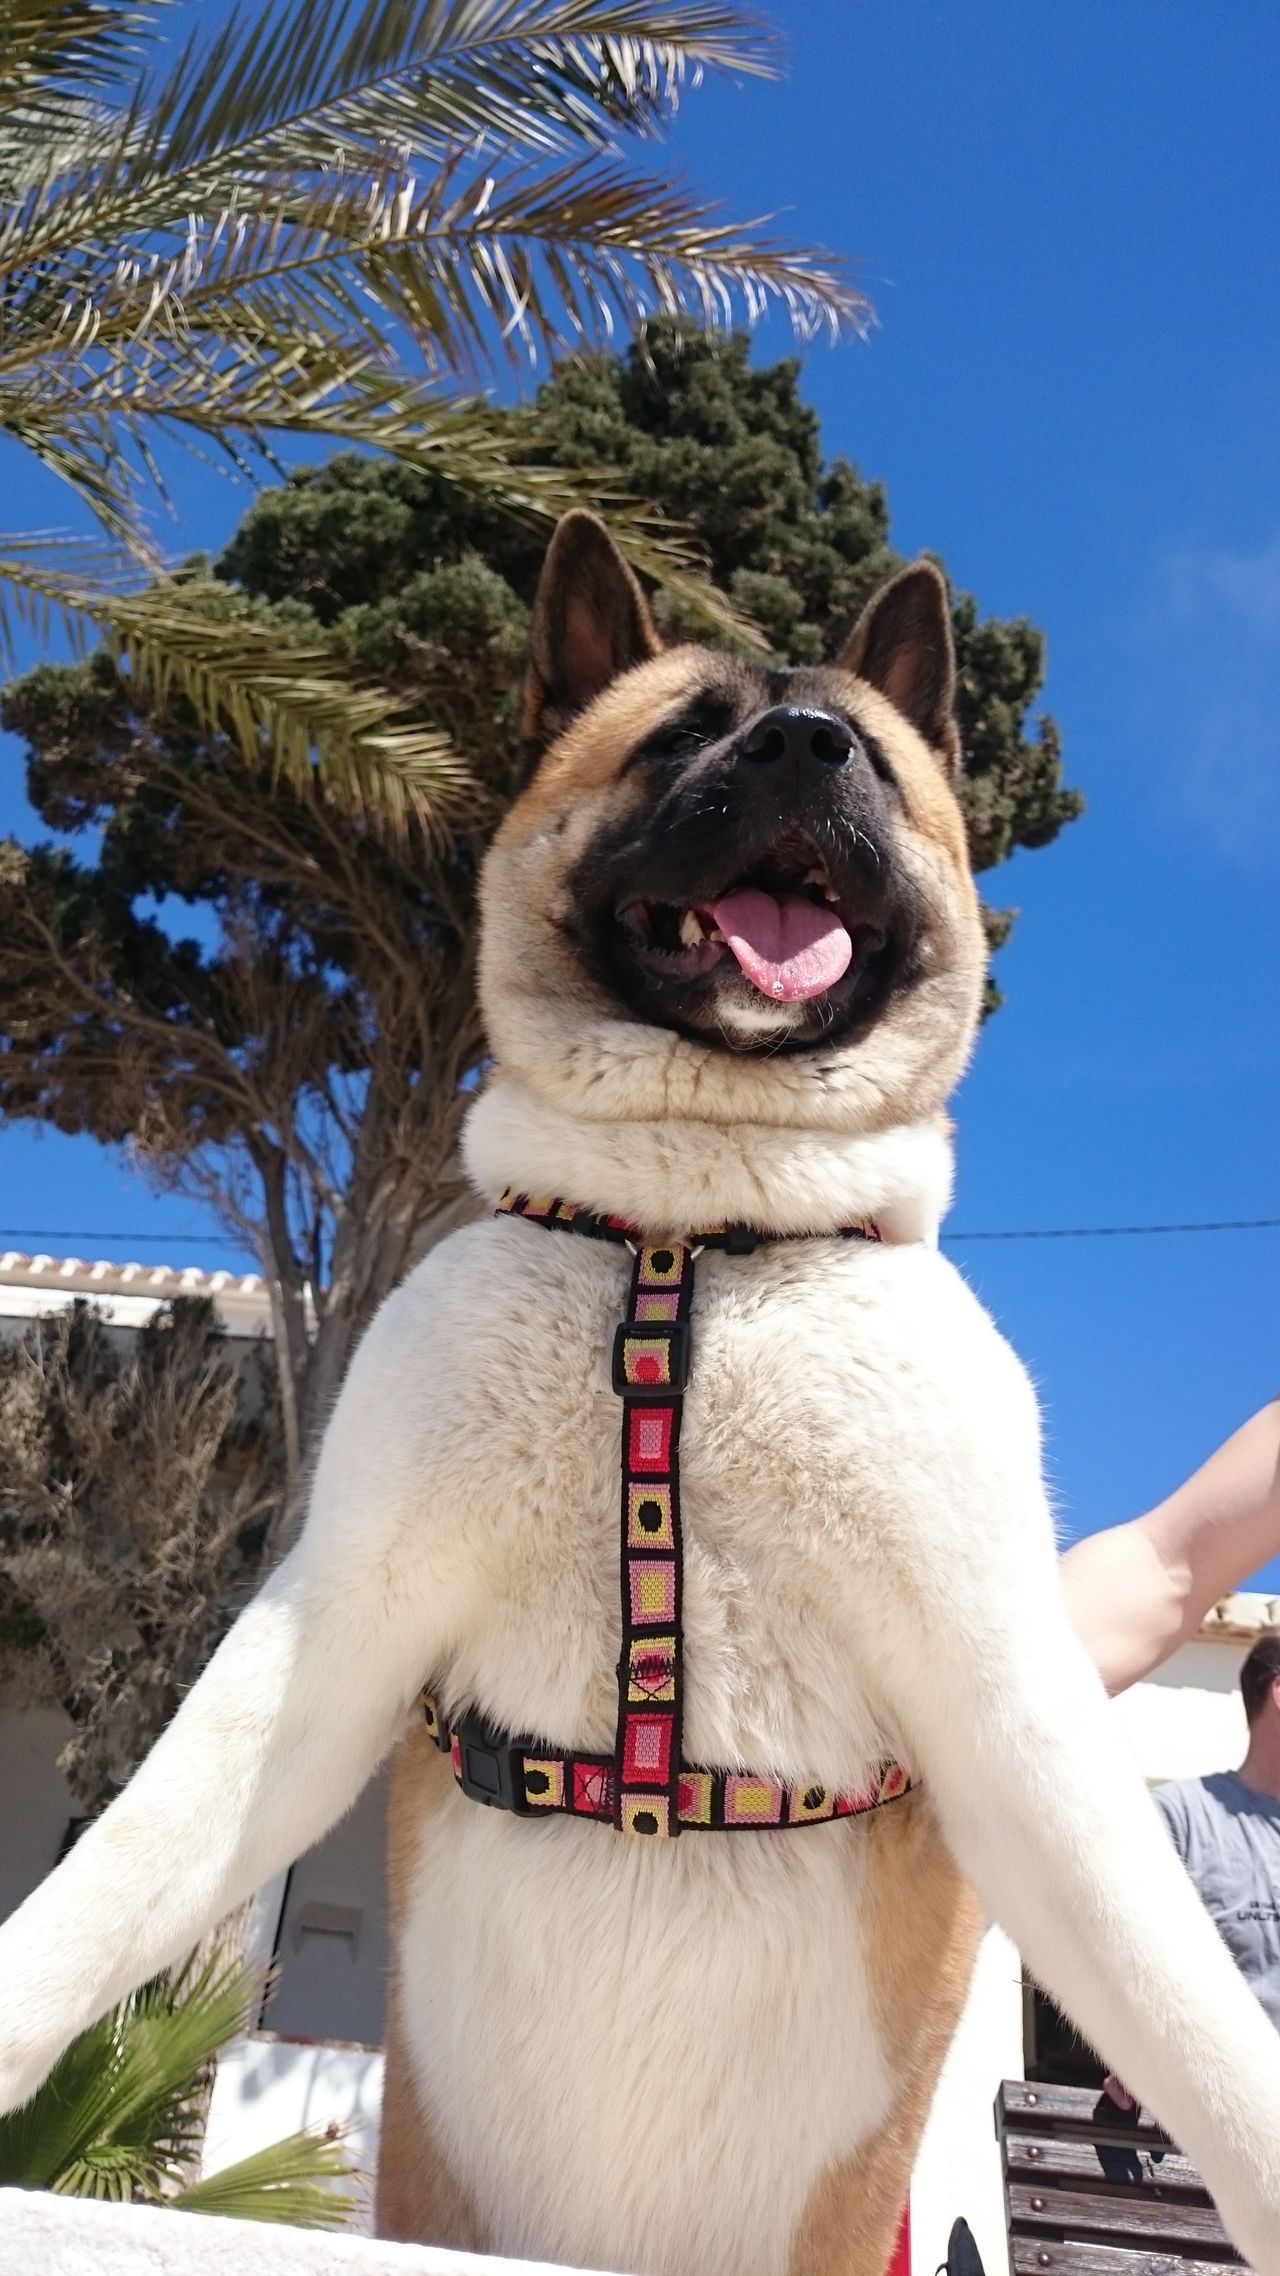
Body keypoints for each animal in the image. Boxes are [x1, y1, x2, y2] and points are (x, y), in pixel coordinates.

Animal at [2, 516, 1275, 2276]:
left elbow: (1188, 2007)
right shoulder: (326, 1642)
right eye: (681, 737)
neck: (692, 1234)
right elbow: (115, 1875)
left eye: (870, 757)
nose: (806, 749)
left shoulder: (1006, 1698)